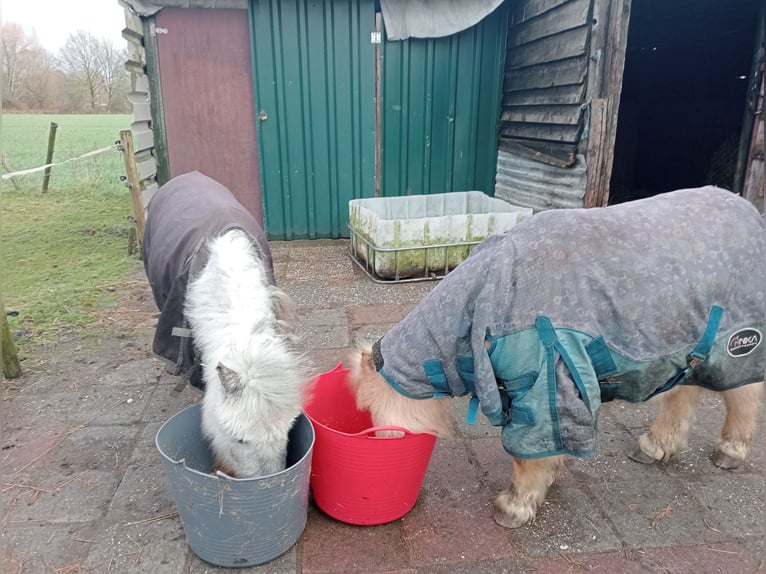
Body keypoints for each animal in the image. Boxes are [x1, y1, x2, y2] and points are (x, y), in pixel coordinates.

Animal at [350, 189, 766, 532]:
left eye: (369, 412)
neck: (491, 293)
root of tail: (750, 212)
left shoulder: (548, 382)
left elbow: (527, 453)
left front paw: (514, 507)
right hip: (687, 345)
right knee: (685, 393)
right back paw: (655, 446)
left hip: (736, 342)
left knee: (744, 393)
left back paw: (731, 450)